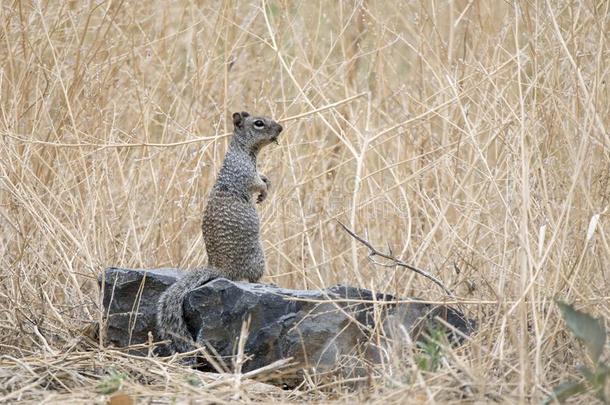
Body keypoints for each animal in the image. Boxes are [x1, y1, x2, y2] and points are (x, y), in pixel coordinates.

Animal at [156, 111, 282, 354]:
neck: (244, 151)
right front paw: (263, 189)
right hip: (258, 257)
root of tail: (219, 268)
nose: (281, 128)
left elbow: (262, 178)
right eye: (259, 123)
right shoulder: (244, 172)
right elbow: (255, 183)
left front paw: (267, 185)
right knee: (252, 278)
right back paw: (268, 284)